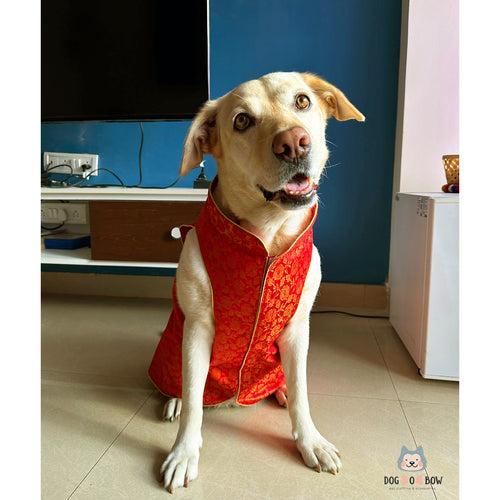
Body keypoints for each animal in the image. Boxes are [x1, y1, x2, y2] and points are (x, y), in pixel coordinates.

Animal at [148, 71, 364, 492]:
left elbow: (302, 395)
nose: (294, 143)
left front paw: (310, 440)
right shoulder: (198, 328)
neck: (267, 236)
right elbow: (195, 402)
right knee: (186, 388)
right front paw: (184, 452)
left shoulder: (297, 328)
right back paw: (175, 399)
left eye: (302, 101)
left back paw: (279, 390)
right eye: (242, 121)